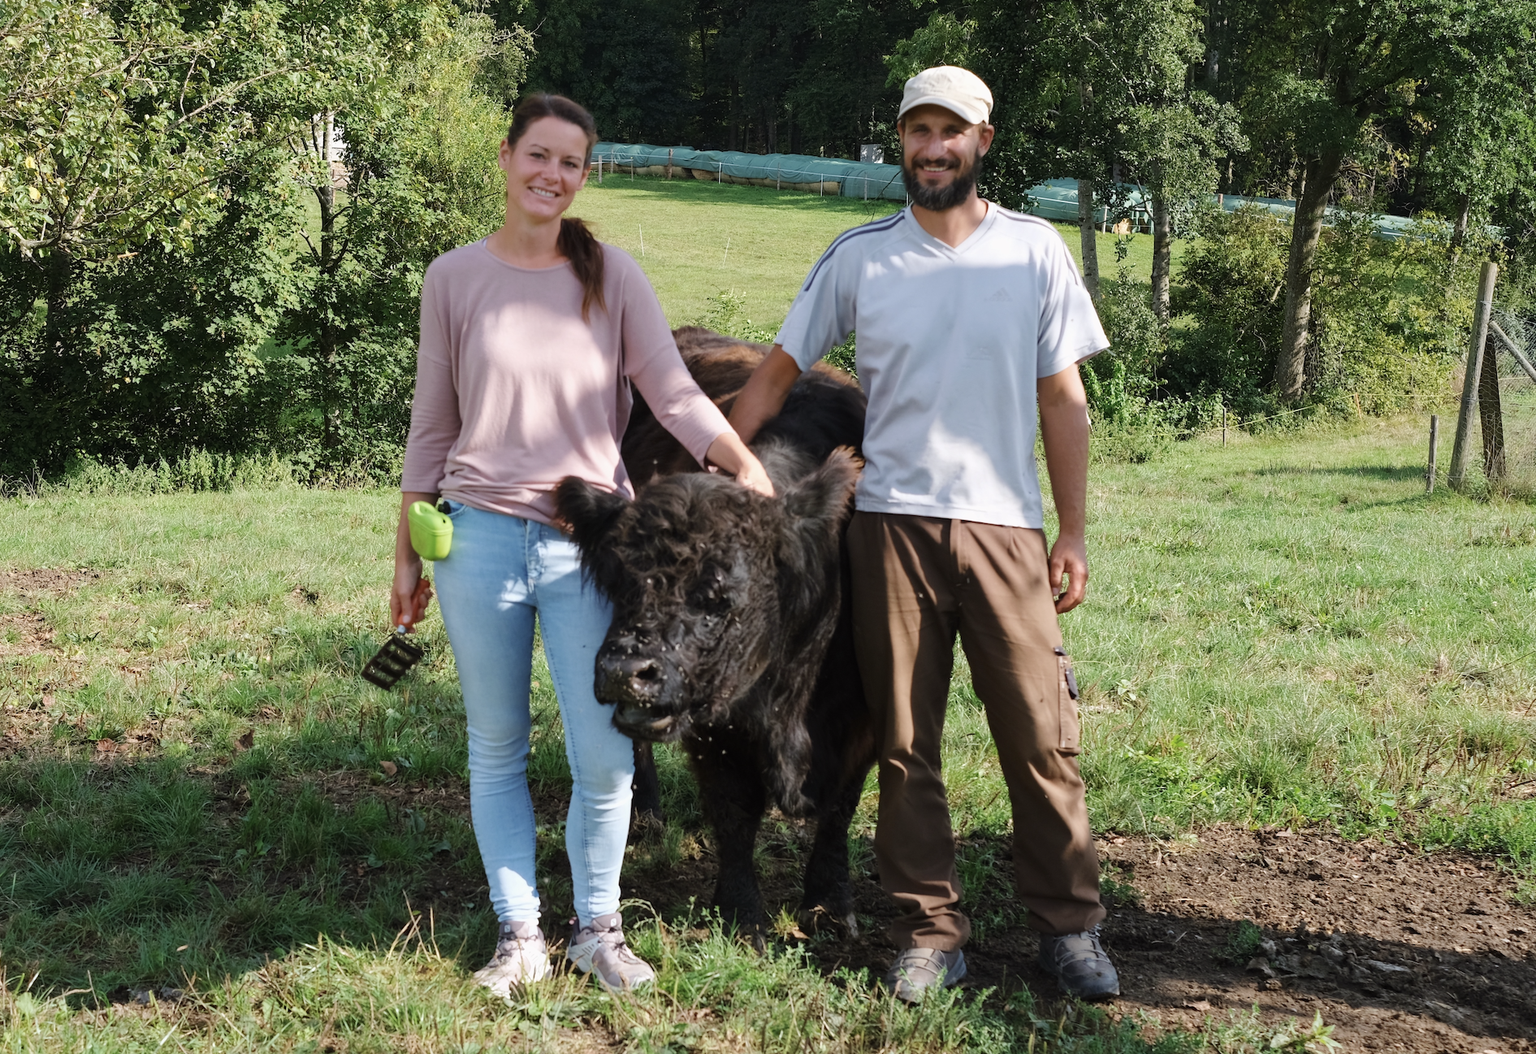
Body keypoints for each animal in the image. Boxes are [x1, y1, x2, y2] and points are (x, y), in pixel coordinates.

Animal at [556, 328, 878, 934]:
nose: (625, 672)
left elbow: (840, 809)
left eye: (722, 597)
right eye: (617, 582)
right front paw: (743, 913)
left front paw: (830, 903)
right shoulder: (714, 723)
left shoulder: (868, 715)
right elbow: (734, 811)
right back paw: (646, 814)